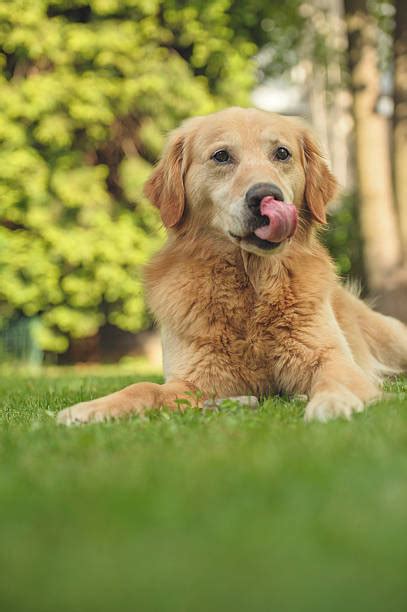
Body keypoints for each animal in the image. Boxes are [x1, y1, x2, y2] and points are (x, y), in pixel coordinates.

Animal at [58, 107, 407, 424]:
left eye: (282, 153)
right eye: (222, 156)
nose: (265, 196)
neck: (251, 283)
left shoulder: (330, 357)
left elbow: (336, 378)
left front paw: (333, 403)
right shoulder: (193, 380)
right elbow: (144, 387)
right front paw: (92, 408)